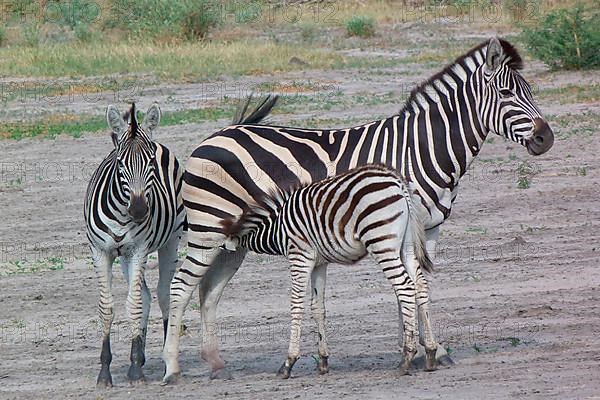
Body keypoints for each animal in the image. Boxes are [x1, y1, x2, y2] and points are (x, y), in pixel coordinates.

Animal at [221, 164, 436, 376]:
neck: (277, 228)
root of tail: (397, 180)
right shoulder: (319, 263)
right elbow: (317, 307)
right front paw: (323, 361)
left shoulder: (300, 256)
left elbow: (296, 305)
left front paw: (289, 362)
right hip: (406, 245)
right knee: (420, 286)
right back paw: (430, 352)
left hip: (381, 241)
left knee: (405, 287)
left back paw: (406, 358)